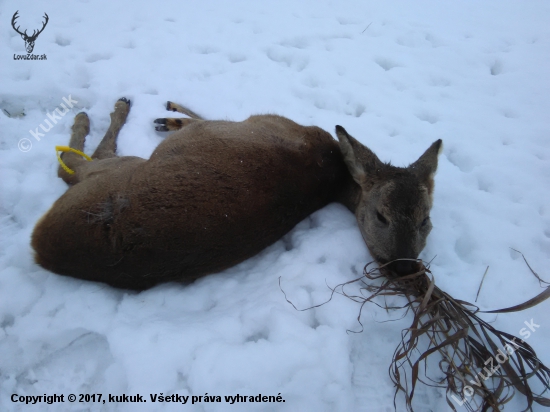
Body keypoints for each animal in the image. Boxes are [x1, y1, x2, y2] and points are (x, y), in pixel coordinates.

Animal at [31, 98, 444, 290]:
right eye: (381, 216)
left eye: (425, 220)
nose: (405, 268)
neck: (331, 170)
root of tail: (42, 247)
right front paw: (172, 114)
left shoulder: (263, 121)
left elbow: (203, 121)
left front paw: (172, 116)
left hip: (115, 174)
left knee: (71, 163)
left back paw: (104, 111)